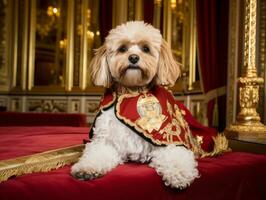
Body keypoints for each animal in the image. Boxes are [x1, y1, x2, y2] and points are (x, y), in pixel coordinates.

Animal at [70, 21, 200, 189]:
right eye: (122, 49)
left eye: (146, 49)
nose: (133, 57)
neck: (132, 91)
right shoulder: (106, 142)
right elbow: (96, 153)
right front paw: (86, 168)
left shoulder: (171, 140)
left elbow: (175, 155)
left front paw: (179, 173)